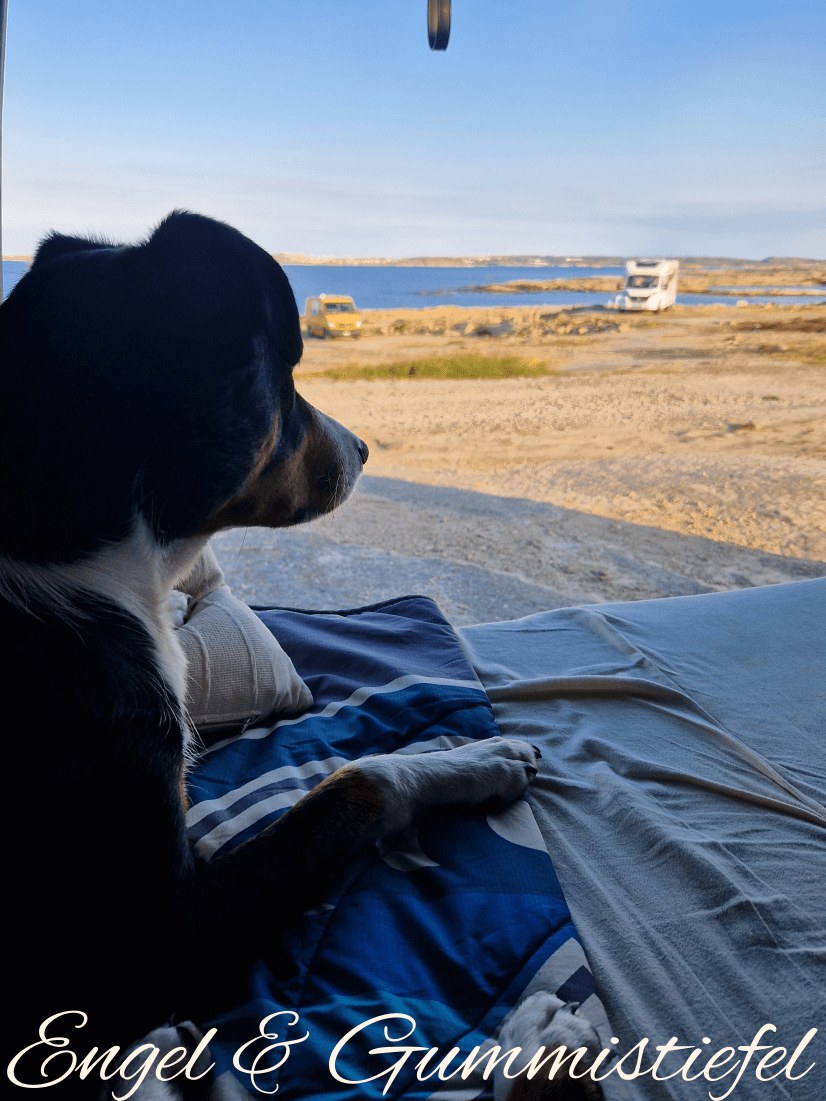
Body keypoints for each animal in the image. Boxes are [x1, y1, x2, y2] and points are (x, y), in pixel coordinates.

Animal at [3, 210, 599, 1096]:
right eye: (284, 381)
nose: (366, 447)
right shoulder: (166, 933)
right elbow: (360, 780)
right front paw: (476, 757)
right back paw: (540, 1046)